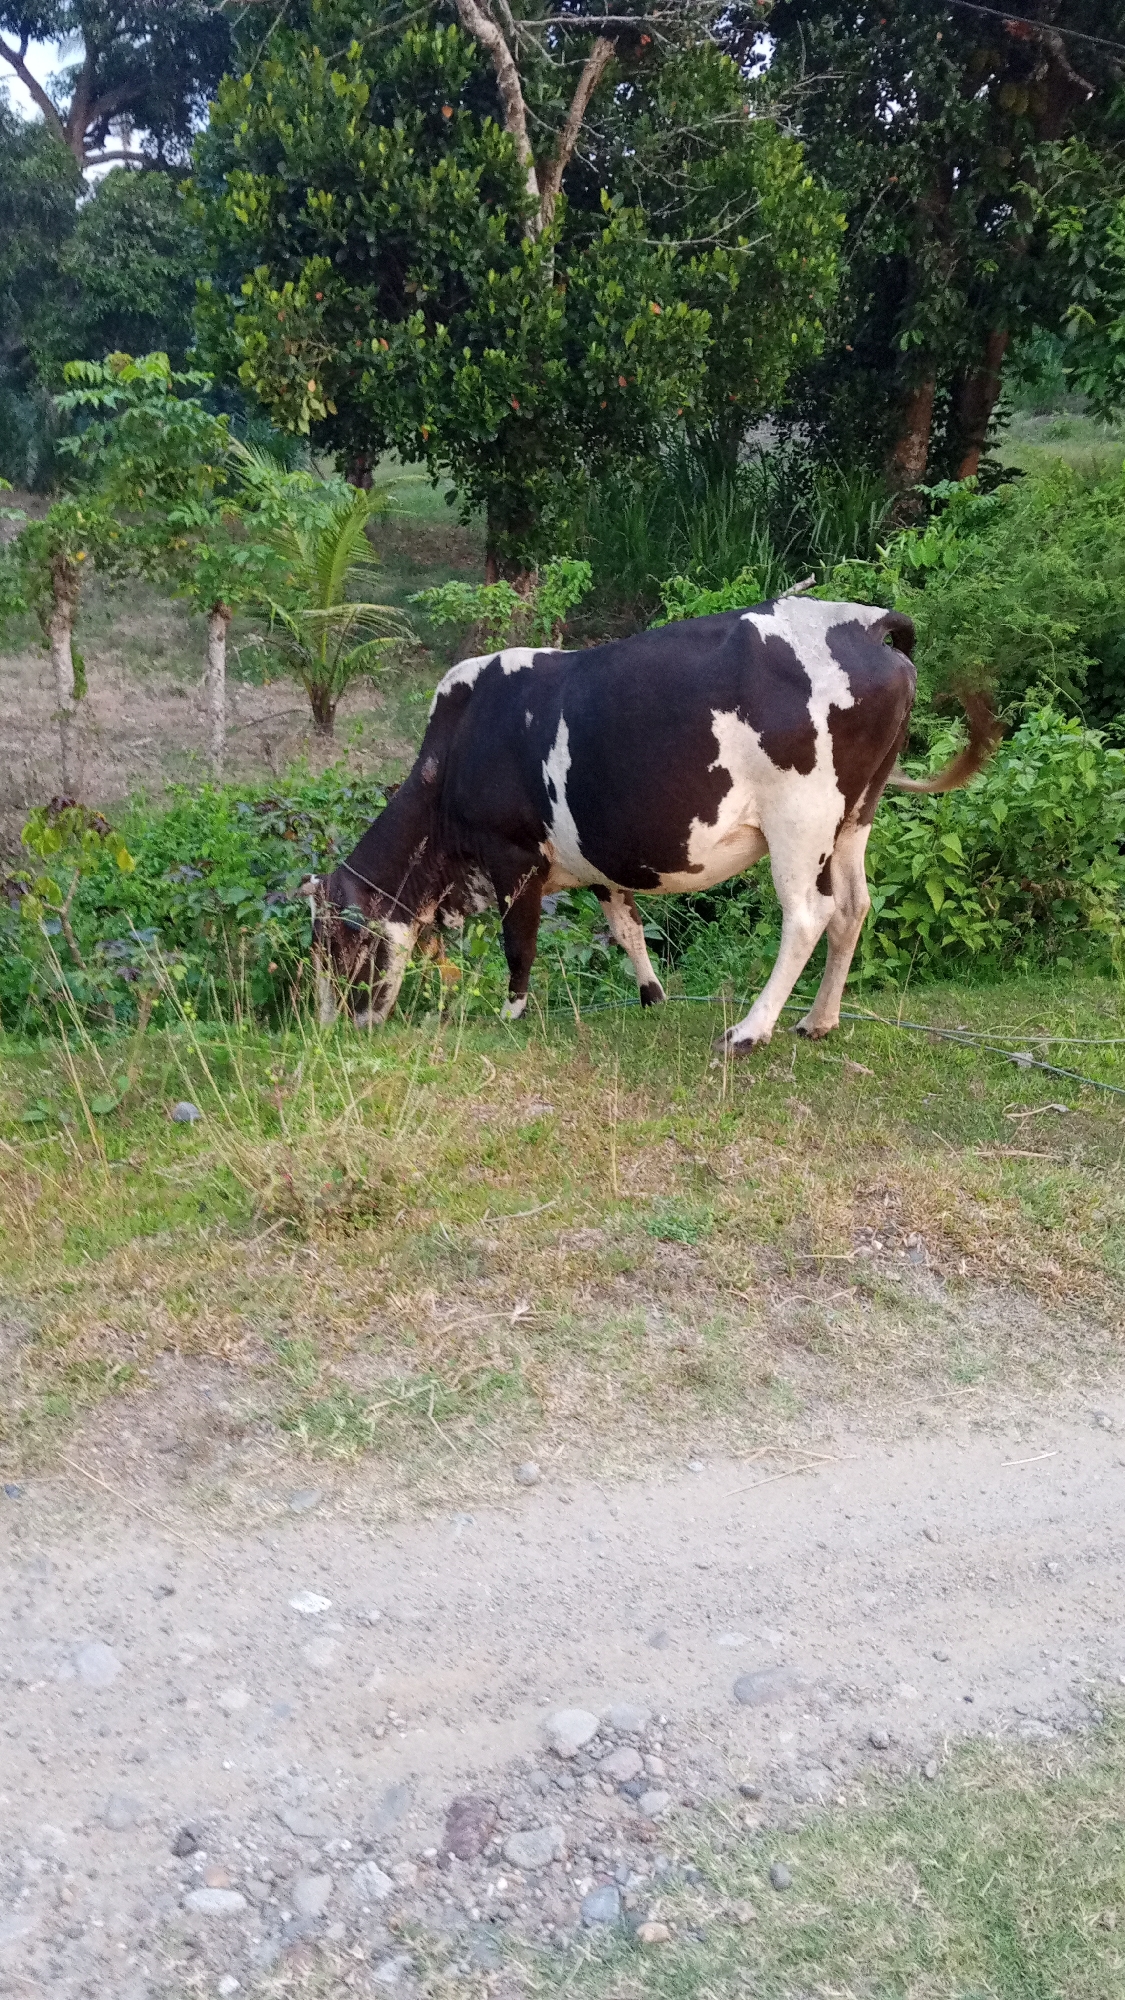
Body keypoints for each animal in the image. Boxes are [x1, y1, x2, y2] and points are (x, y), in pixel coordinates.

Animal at [305, 597, 997, 1051]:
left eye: (335, 945)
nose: (330, 1028)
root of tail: (863, 622)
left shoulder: (512, 855)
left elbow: (519, 942)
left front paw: (512, 1012)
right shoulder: (595, 860)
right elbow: (627, 928)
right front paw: (651, 994)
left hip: (800, 821)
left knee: (808, 915)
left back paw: (751, 1030)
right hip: (854, 817)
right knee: (853, 906)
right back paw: (818, 1020)